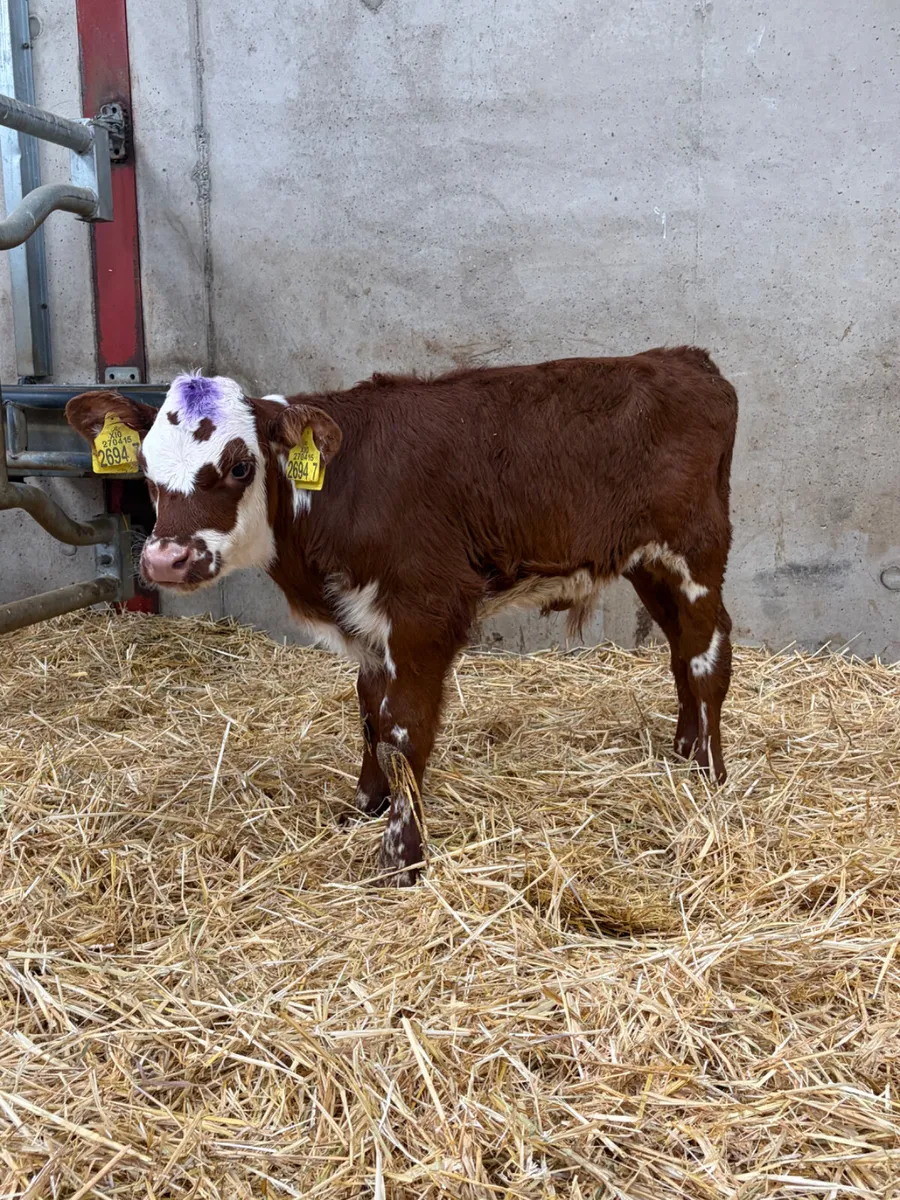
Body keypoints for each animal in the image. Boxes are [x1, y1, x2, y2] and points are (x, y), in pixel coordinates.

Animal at [66, 348, 738, 886]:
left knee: (707, 653)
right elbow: (369, 715)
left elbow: (405, 729)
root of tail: (685, 359)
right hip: (648, 564)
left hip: (696, 550)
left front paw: (400, 856)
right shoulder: (366, 624)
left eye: (238, 466)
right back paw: (682, 752)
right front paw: (365, 803)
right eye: (144, 471)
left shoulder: (423, 612)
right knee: (680, 651)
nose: (166, 558)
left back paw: (709, 775)